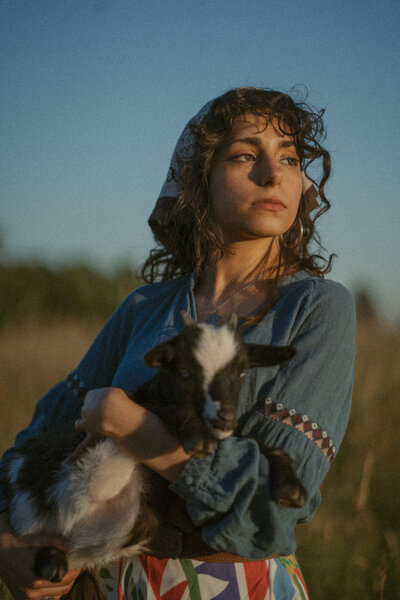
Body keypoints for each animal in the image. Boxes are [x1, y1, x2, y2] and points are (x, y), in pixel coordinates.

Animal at [3, 312, 306, 584]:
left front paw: (291, 488)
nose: (225, 418)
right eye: (185, 372)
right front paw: (197, 435)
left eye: (242, 371)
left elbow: (255, 443)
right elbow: (163, 408)